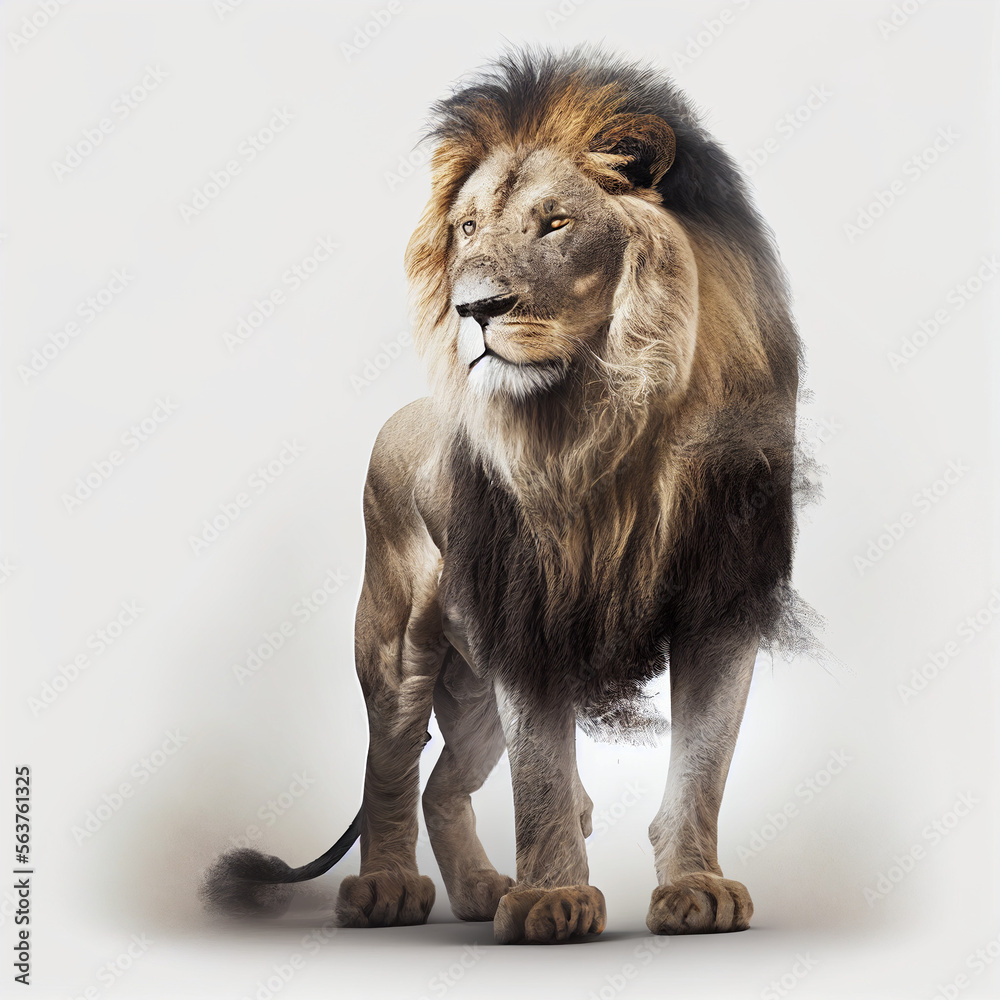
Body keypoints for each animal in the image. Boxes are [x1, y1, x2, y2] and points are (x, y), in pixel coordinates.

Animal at [201, 45, 803, 944]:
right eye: (468, 229)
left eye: (555, 224)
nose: (474, 309)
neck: (610, 421)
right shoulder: (530, 611)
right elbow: (543, 773)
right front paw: (553, 902)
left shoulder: (719, 602)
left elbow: (702, 764)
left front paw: (697, 890)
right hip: (398, 648)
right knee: (389, 772)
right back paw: (386, 891)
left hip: (475, 688)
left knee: (442, 785)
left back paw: (482, 889)